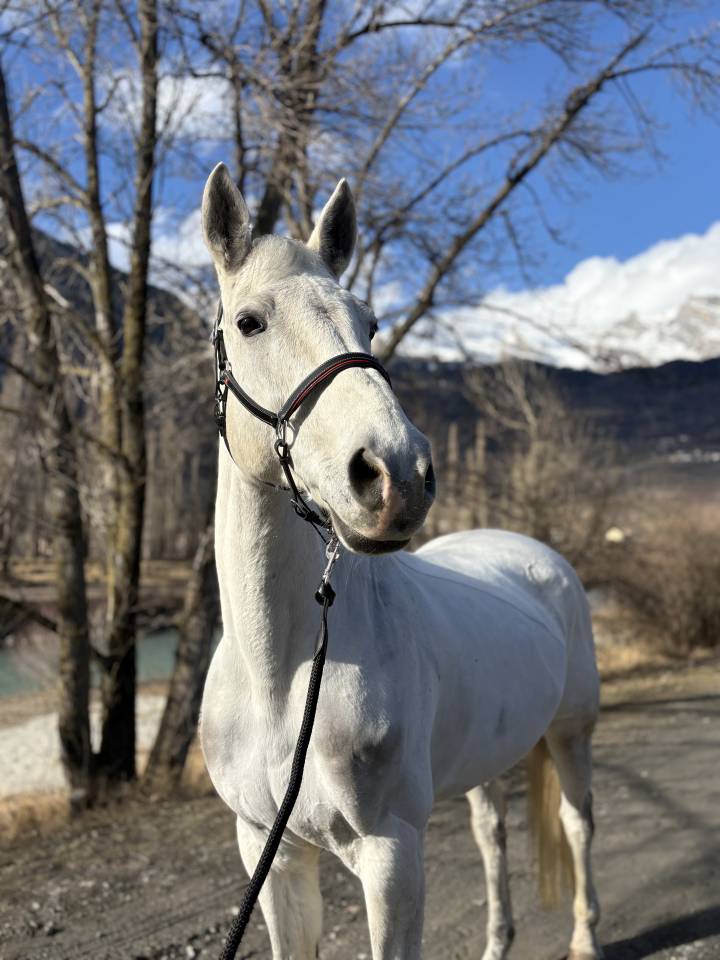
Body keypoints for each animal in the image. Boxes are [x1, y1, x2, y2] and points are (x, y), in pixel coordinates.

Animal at [199, 162, 602, 960]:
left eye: (371, 323)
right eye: (250, 321)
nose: (397, 474)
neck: (282, 674)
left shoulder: (390, 854)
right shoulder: (271, 853)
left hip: (571, 735)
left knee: (577, 825)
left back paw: (585, 937)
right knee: (491, 833)